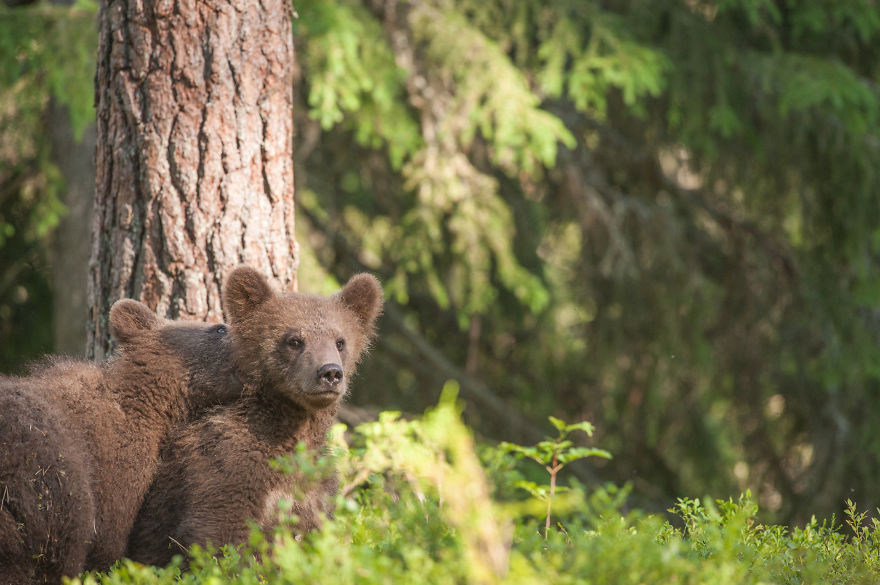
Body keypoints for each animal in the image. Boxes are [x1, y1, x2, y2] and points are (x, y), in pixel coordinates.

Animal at [125, 266, 383, 567]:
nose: (330, 373)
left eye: (340, 341)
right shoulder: (227, 470)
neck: (290, 431)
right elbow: (220, 537)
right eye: (294, 340)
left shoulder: (315, 486)